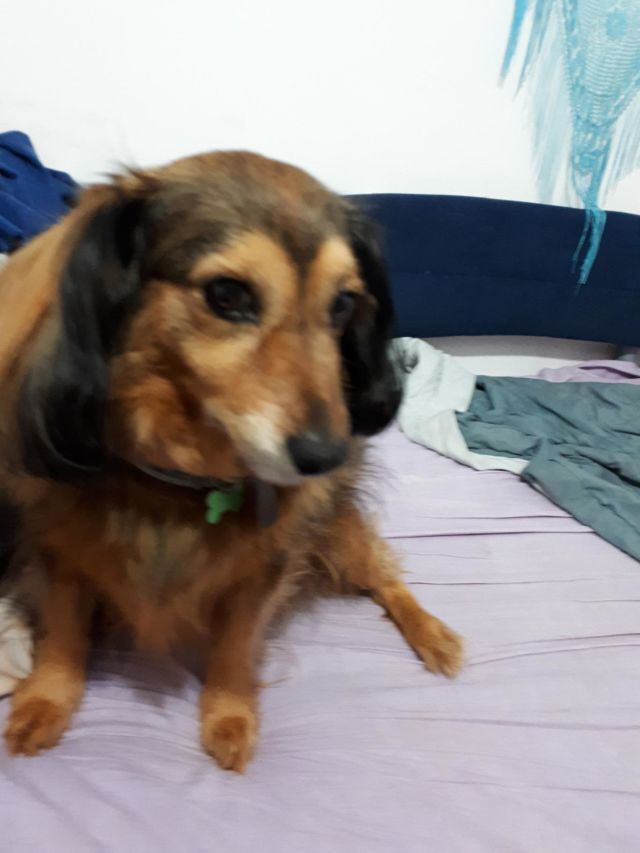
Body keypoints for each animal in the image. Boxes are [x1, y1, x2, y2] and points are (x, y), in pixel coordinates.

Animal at [0, 151, 462, 771]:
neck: (180, 485)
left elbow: (234, 646)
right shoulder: (61, 550)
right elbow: (66, 635)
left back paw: (433, 633)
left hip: (339, 533)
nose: (328, 456)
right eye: (227, 294)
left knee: (386, 580)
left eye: (343, 302)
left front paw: (229, 715)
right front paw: (47, 700)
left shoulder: (264, 569)